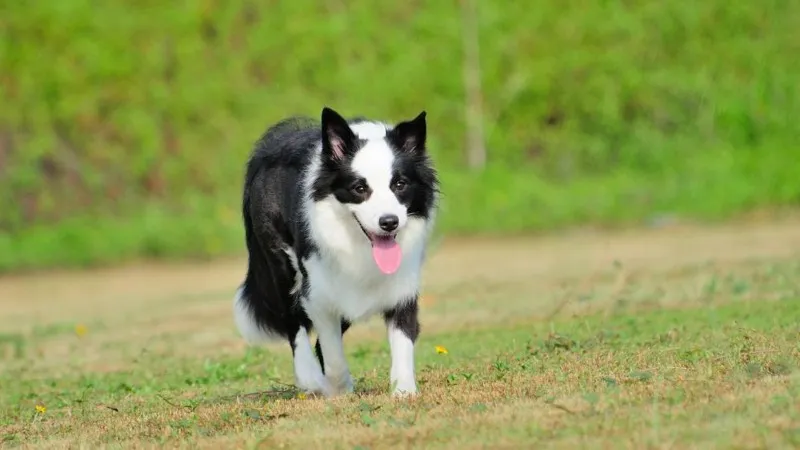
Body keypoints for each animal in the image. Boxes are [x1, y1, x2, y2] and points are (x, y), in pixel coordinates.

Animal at [234, 106, 440, 398]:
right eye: (359, 188)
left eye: (400, 184)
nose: (389, 222)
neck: (359, 246)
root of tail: (268, 145)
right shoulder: (318, 289)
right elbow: (331, 350)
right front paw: (337, 388)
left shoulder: (402, 285)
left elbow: (403, 338)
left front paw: (404, 391)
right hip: (281, 264)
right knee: (294, 323)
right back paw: (309, 378)